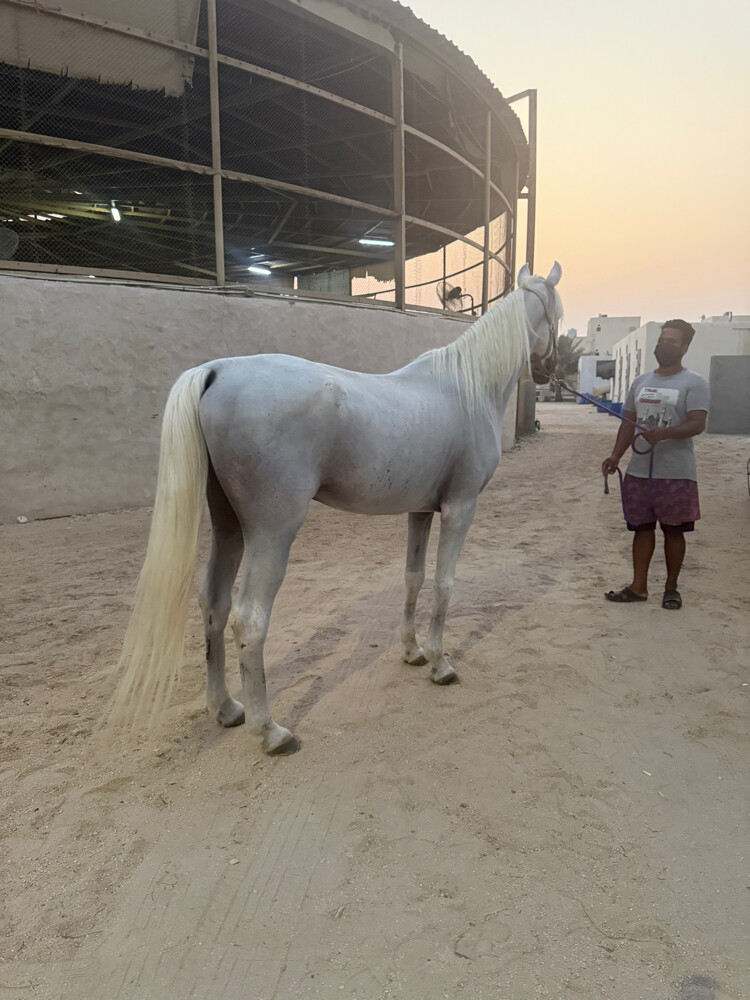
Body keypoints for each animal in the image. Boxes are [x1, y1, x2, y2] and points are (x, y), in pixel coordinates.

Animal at [112, 262, 563, 754]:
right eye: (557, 314)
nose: (550, 371)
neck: (469, 386)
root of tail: (217, 371)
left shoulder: (421, 511)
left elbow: (414, 577)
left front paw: (412, 651)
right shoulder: (461, 508)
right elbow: (444, 584)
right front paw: (441, 664)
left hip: (228, 526)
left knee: (213, 604)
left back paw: (227, 708)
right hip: (272, 533)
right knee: (249, 620)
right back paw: (270, 730)